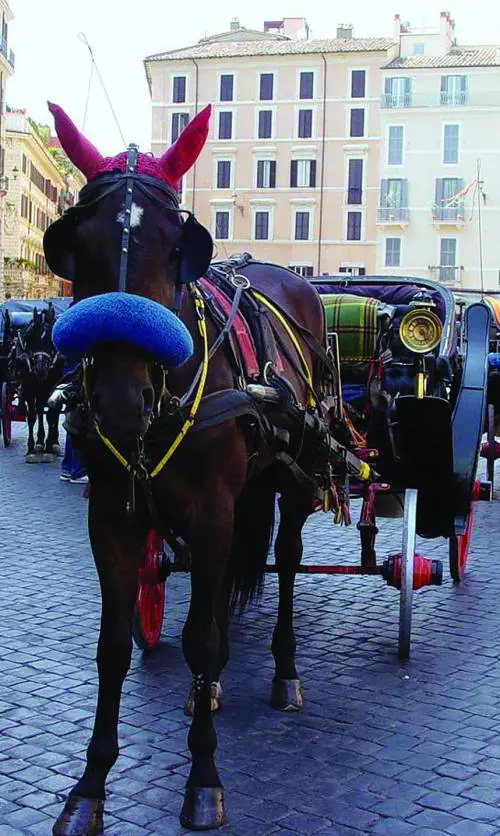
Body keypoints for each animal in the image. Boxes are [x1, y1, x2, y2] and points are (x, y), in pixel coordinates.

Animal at [14, 305, 65, 462]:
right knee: (40, 410)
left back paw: (53, 443)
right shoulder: (28, 388)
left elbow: (51, 417)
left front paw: (48, 449)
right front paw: (31, 450)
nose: (40, 370)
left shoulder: (52, 388)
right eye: (31, 338)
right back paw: (40, 442)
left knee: (53, 413)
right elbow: (32, 416)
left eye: (51, 340)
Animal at [43, 102, 350, 834]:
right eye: (79, 246)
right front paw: (89, 787)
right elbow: (114, 648)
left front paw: (203, 780)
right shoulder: (113, 519)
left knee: (285, 563)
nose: (120, 400)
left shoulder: (212, 516)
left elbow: (203, 642)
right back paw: (208, 691)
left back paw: (283, 671)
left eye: (174, 248)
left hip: (294, 477)